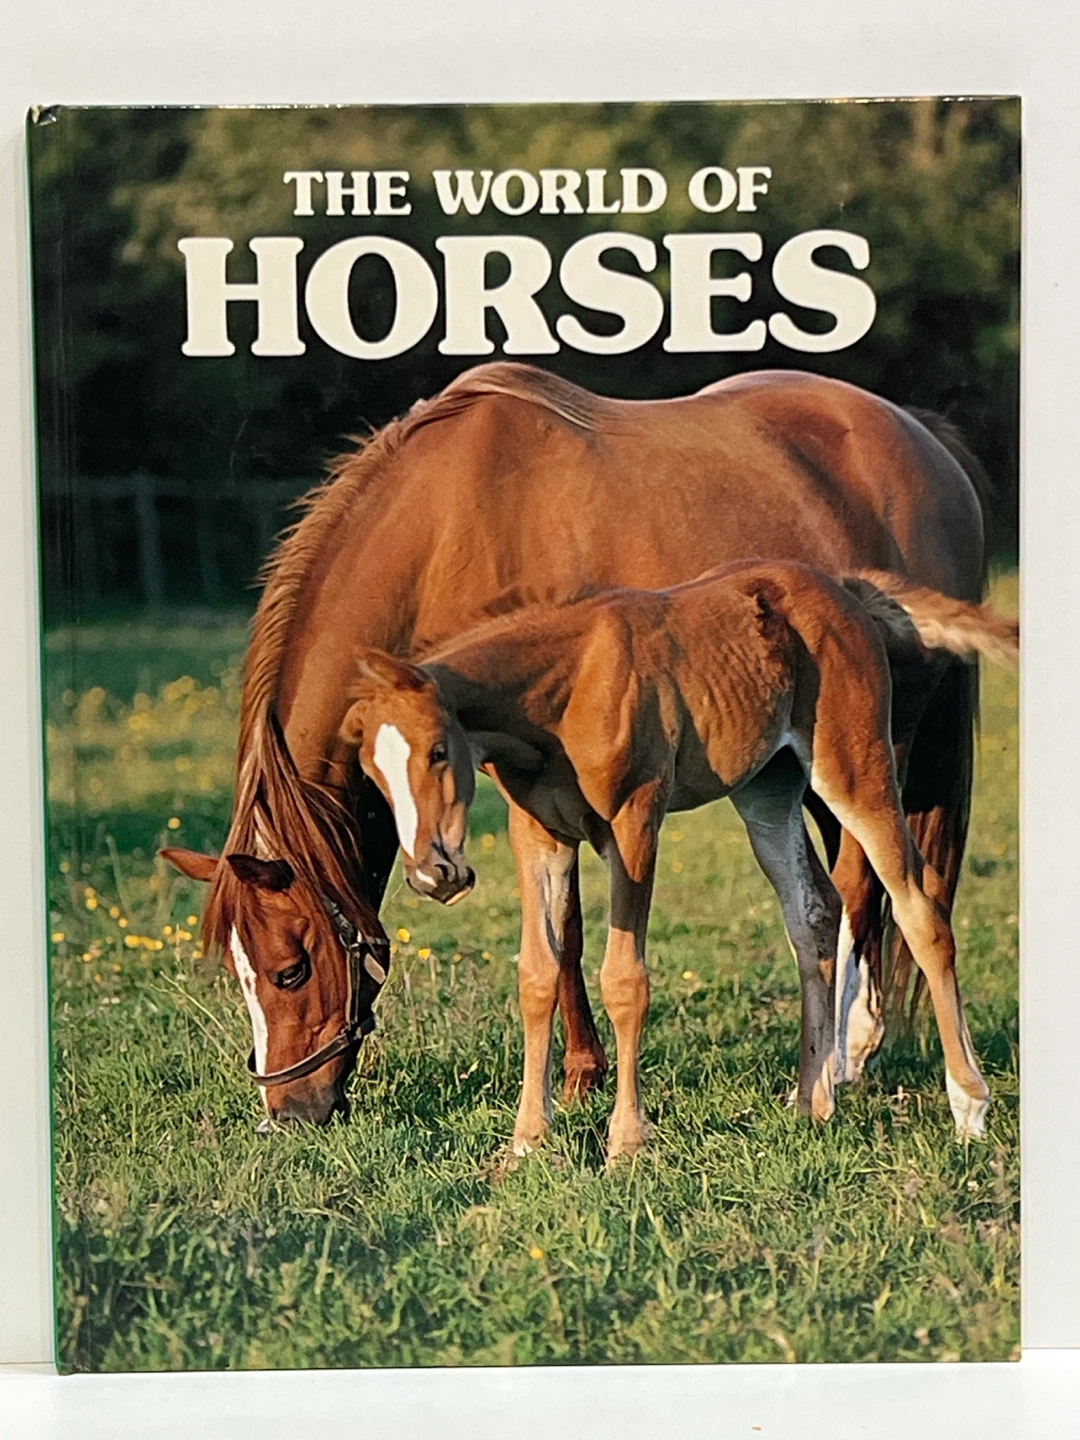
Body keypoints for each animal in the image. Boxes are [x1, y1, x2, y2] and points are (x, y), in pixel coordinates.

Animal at [338, 564, 1017, 1158]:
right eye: (373, 771)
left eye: (436, 751)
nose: (433, 874)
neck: (563, 696)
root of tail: (844, 588)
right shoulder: (538, 834)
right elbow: (537, 975)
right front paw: (526, 1144)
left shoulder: (635, 822)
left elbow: (624, 980)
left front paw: (626, 1145)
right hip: (767, 790)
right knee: (813, 913)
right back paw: (811, 1100)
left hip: (854, 767)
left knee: (918, 905)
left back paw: (969, 1106)